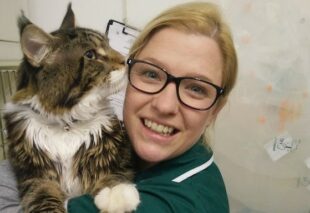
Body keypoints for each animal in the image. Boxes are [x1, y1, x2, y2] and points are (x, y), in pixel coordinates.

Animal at [2, 3, 140, 213]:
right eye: (90, 55)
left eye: (108, 44)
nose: (126, 59)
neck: (66, 122)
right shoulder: (35, 176)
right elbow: (42, 196)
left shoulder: (114, 156)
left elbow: (111, 173)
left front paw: (116, 193)